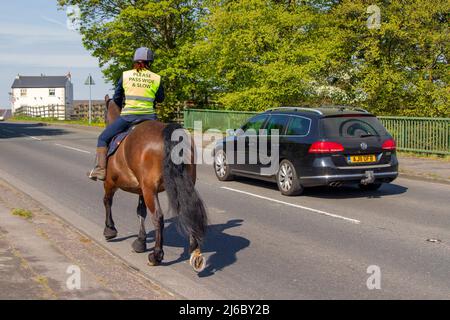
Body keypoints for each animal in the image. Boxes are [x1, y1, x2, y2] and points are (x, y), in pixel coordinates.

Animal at [102, 95, 207, 272]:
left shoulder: (110, 182)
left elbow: (107, 201)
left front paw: (109, 229)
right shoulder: (141, 190)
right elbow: (140, 212)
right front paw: (140, 241)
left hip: (149, 190)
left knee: (158, 216)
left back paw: (156, 255)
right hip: (180, 185)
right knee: (188, 210)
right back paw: (195, 251)